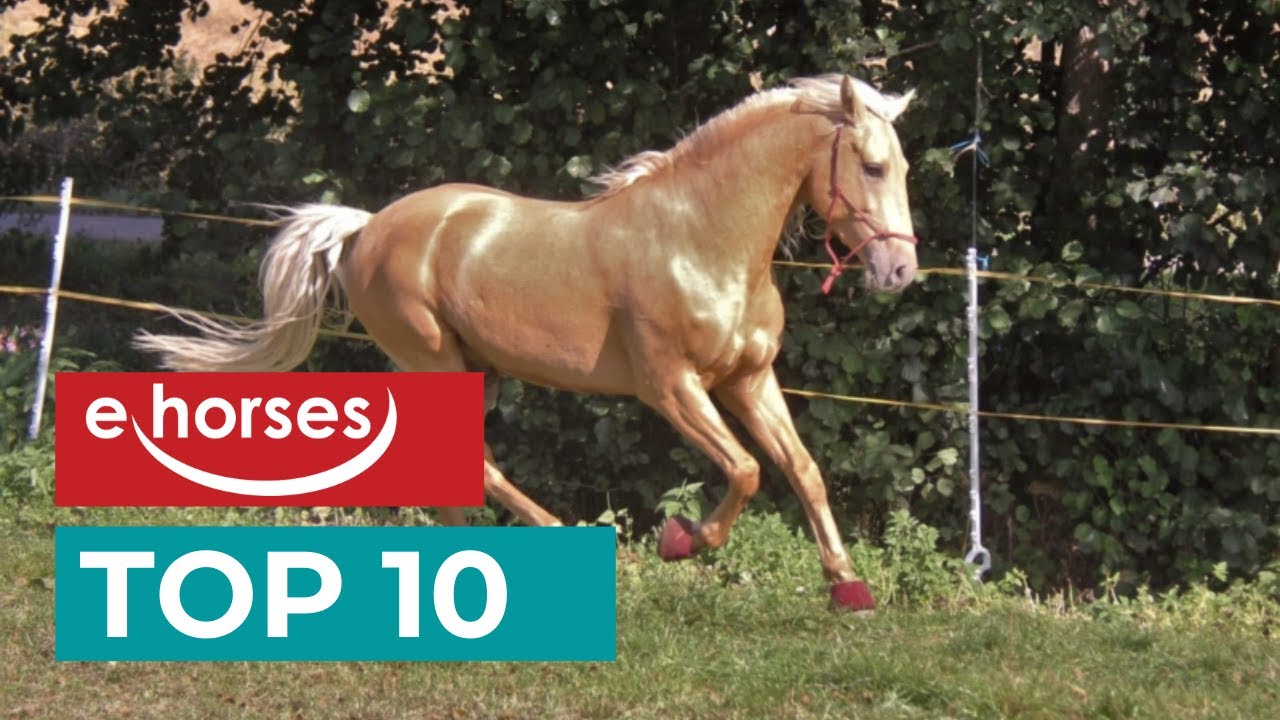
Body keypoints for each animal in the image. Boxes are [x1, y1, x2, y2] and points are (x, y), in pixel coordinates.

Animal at [135, 74, 918, 611]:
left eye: (904, 168)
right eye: (873, 166)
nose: (900, 271)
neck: (700, 239)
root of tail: (365, 228)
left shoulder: (748, 380)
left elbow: (802, 470)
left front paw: (848, 588)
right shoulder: (670, 387)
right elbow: (748, 471)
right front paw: (681, 540)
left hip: (470, 369)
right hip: (433, 360)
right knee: (479, 467)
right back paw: (570, 544)